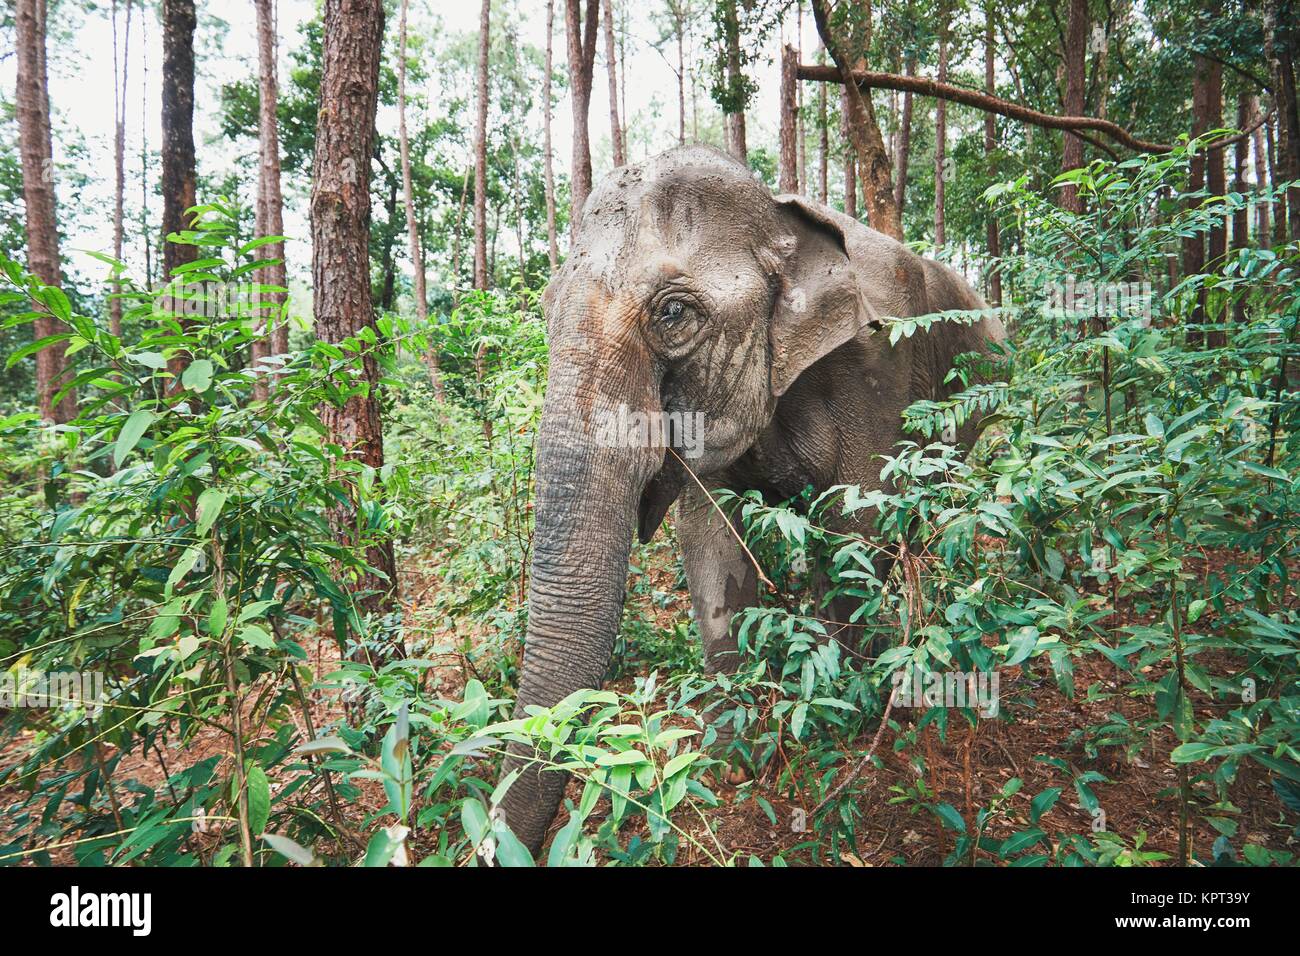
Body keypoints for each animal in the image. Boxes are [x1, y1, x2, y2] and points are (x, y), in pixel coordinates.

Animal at [493, 143, 1003, 858]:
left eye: (672, 314)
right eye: (544, 308)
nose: (492, 844)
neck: (778, 216)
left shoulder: (878, 369)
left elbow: (858, 527)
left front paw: (850, 723)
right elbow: (711, 538)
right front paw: (729, 758)